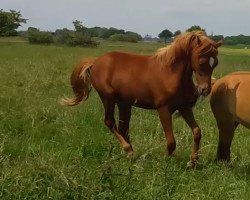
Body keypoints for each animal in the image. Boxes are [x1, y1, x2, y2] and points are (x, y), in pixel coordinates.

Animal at [61, 31, 223, 165]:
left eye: (215, 63)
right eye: (201, 61)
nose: (204, 90)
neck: (170, 73)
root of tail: (95, 62)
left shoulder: (184, 108)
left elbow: (197, 132)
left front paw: (193, 161)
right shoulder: (163, 109)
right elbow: (171, 141)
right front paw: (166, 160)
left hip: (124, 103)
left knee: (123, 127)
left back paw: (131, 154)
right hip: (108, 98)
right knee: (109, 122)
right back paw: (128, 150)